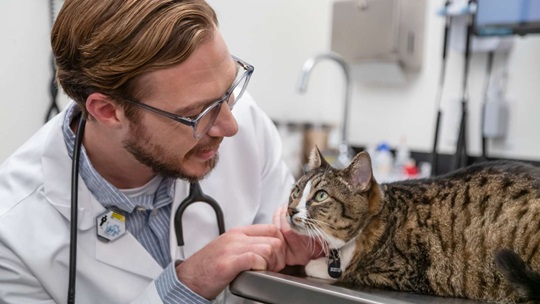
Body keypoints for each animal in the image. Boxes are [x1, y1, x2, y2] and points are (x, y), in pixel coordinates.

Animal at [286, 147, 540, 302]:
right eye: (296, 191)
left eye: (320, 196)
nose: (290, 210)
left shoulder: (400, 271)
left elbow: (350, 272)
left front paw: (316, 265)